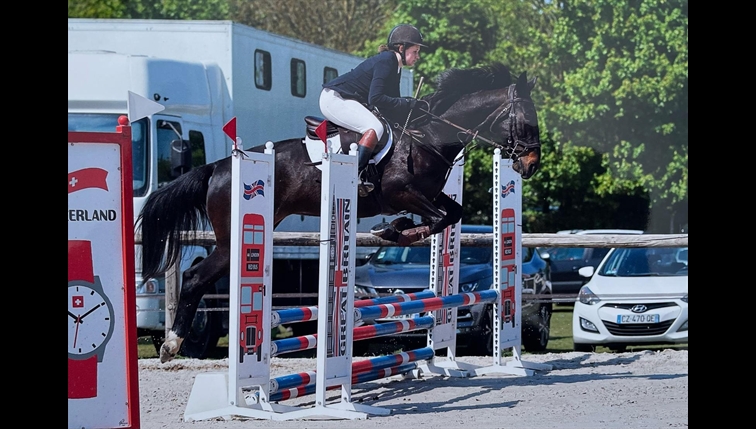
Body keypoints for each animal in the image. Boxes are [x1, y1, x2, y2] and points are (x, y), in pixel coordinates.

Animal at [136, 63, 542, 363]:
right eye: (526, 120)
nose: (531, 165)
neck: (429, 136)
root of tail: (217, 167)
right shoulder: (402, 192)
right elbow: (436, 218)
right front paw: (393, 230)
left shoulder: (428, 195)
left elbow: (451, 214)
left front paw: (396, 230)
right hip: (228, 241)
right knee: (194, 279)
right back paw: (172, 344)